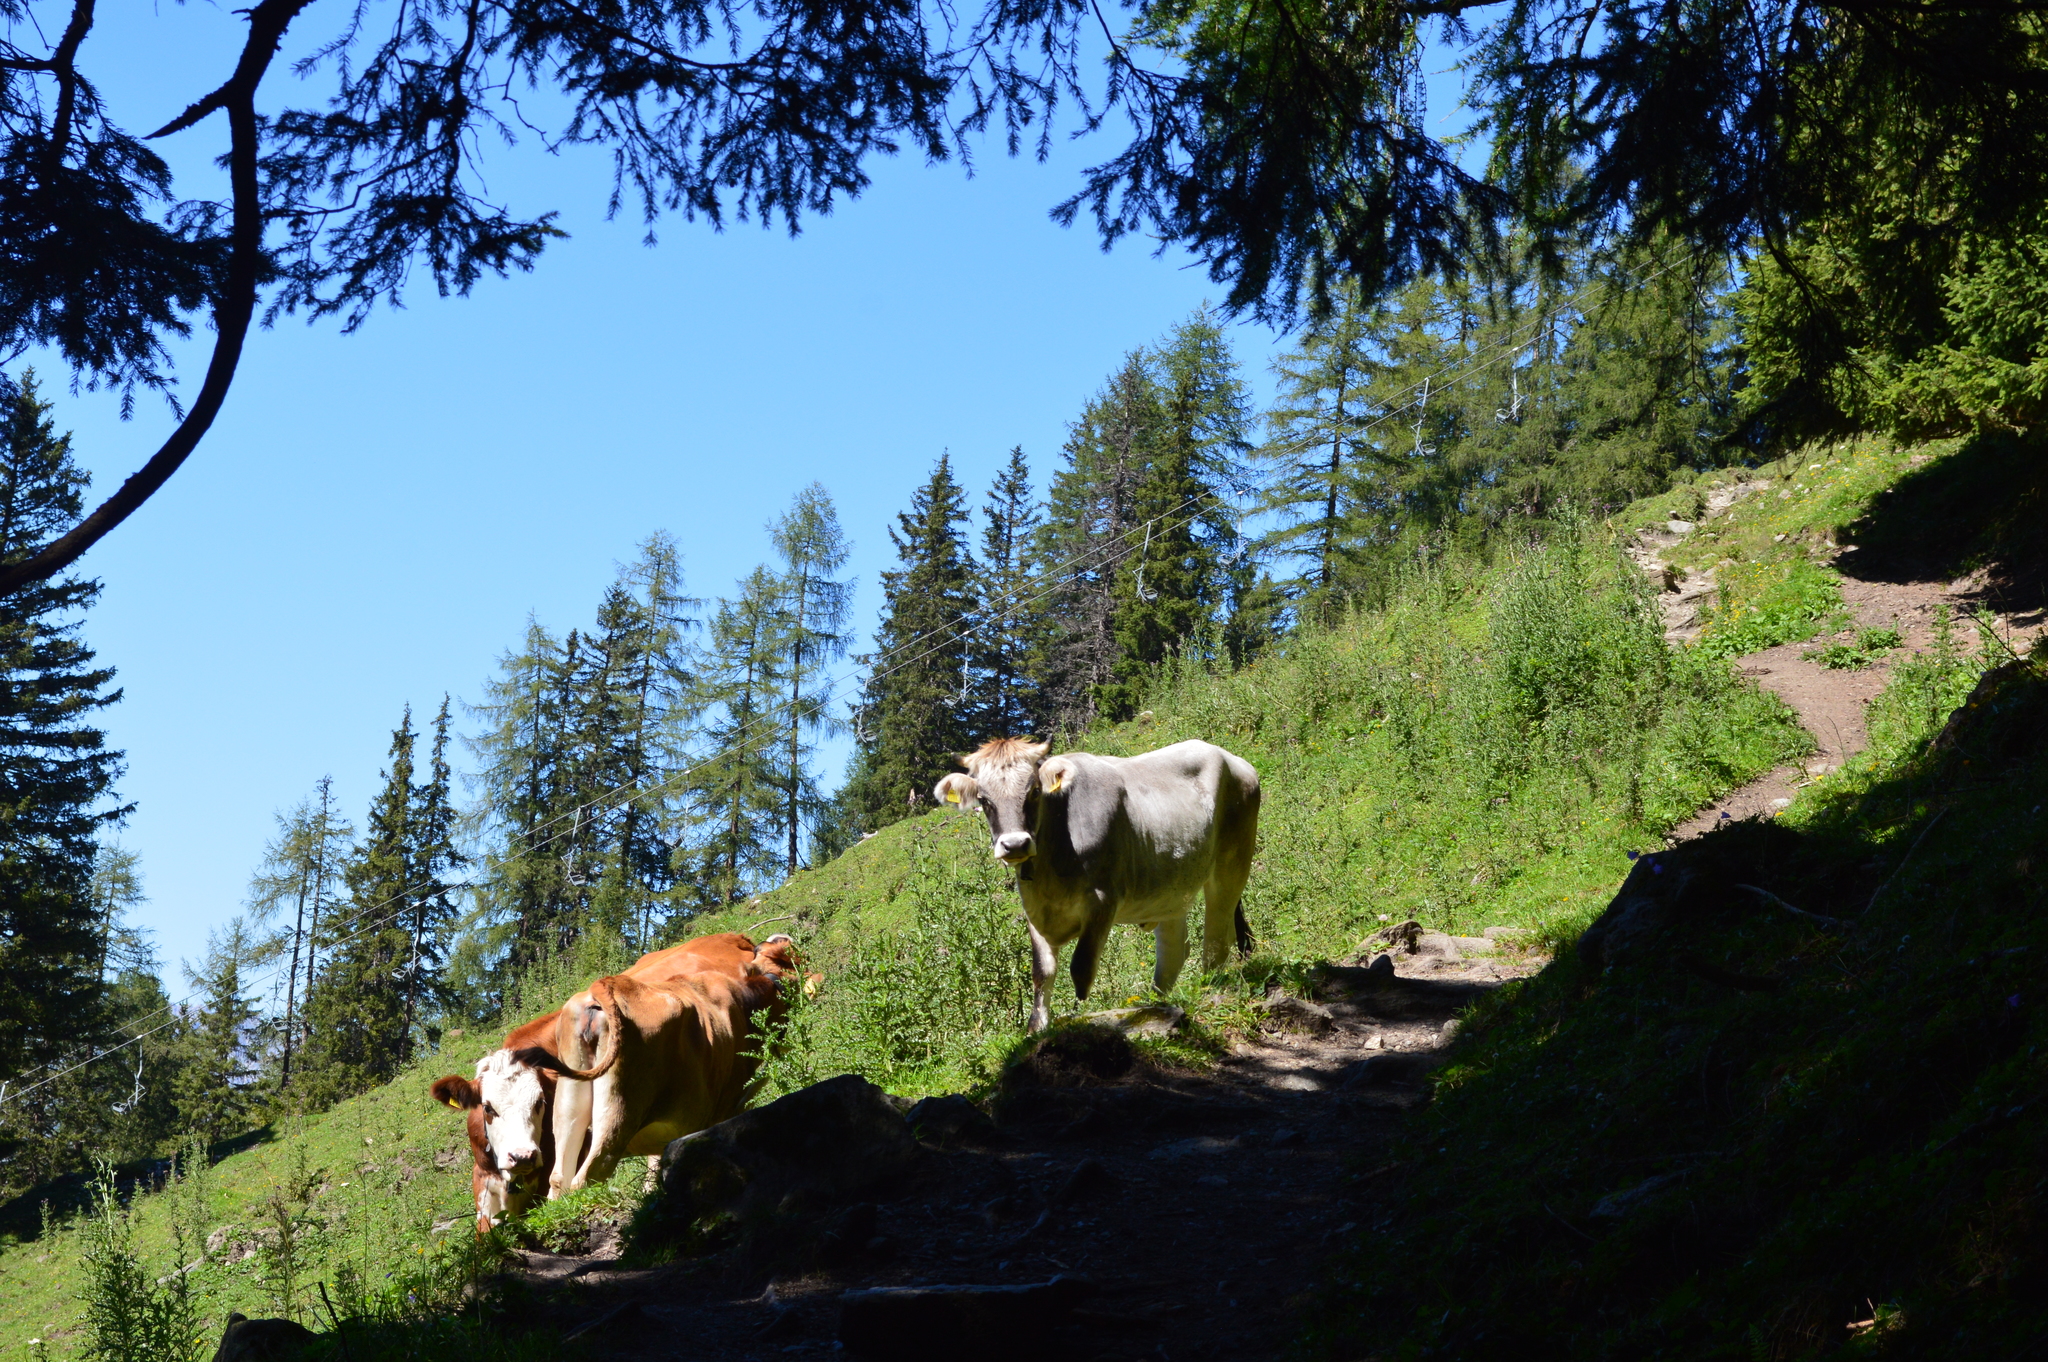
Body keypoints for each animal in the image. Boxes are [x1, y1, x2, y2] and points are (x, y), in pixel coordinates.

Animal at [937, 737, 1253, 1024]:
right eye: (983, 800)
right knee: (1175, 948)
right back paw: (1158, 1002)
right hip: (1171, 888)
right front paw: (1036, 1028)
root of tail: (1225, 754)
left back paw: (1209, 985)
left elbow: (1081, 969)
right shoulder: (1034, 912)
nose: (1015, 845)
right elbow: (1041, 973)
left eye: (1035, 791)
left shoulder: (1103, 901)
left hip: (1232, 863)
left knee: (1216, 935)